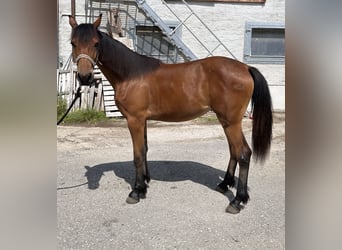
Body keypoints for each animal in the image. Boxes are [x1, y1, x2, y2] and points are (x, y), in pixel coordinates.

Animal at [69, 14, 272, 213]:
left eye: (96, 43)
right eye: (73, 43)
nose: (84, 77)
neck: (130, 74)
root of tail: (245, 68)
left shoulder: (134, 120)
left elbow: (137, 154)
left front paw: (136, 191)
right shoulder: (142, 120)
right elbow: (144, 149)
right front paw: (145, 183)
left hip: (231, 122)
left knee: (243, 153)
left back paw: (237, 201)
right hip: (227, 121)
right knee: (234, 151)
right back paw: (224, 185)